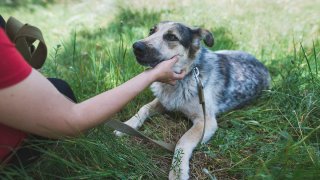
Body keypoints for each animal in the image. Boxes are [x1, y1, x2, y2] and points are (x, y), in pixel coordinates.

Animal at [115, 21, 270, 179]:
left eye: (172, 37)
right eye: (152, 31)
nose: (136, 46)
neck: (185, 77)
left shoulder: (206, 122)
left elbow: (182, 141)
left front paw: (177, 171)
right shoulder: (165, 101)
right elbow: (144, 108)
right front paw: (127, 125)